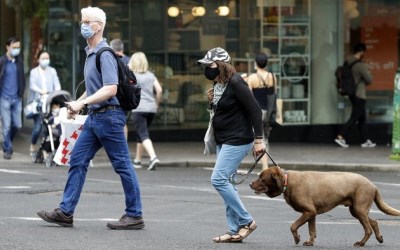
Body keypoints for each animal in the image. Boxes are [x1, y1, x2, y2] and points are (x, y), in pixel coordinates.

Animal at [250, 166, 400, 246]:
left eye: (262, 178)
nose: (250, 184)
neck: (287, 182)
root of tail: (373, 185)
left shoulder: (309, 212)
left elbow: (293, 226)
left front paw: (297, 238)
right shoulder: (312, 213)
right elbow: (312, 230)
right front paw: (310, 243)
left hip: (359, 209)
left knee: (368, 228)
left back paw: (361, 243)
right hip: (356, 210)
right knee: (374, 222)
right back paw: (380, 238)